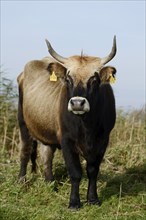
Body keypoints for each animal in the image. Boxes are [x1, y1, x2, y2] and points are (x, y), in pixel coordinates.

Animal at [17, 36, 117, 210]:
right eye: (69, 79)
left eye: (94, 79)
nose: (77, 103)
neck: (87, 125)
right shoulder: (67, 140)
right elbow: (75, 172)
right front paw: (74, 202)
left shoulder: (103, 140)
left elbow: (93, 170)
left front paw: (93, 199)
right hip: (23, 124)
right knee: (25, 151)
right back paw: (22, 180)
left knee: (46, 155)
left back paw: (50, 183)